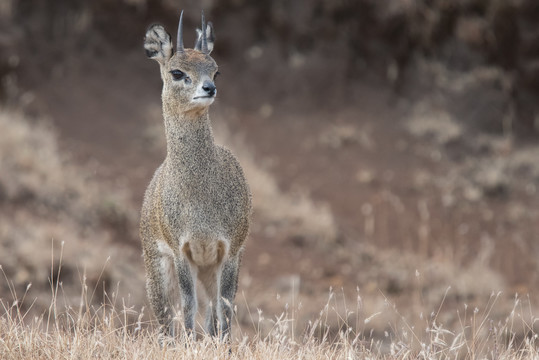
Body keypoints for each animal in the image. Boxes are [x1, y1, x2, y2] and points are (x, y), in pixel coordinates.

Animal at [140, 11, 252, 340]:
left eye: (216, 71)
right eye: (177, 72)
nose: (209, 89)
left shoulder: (229, 249)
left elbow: (224, 306)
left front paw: (225, 345)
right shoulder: (182, 251)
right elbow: (188, 305)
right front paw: (190, 343)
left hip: (210, 268)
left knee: (211, 309)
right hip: (157, 266)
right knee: (165, 316)